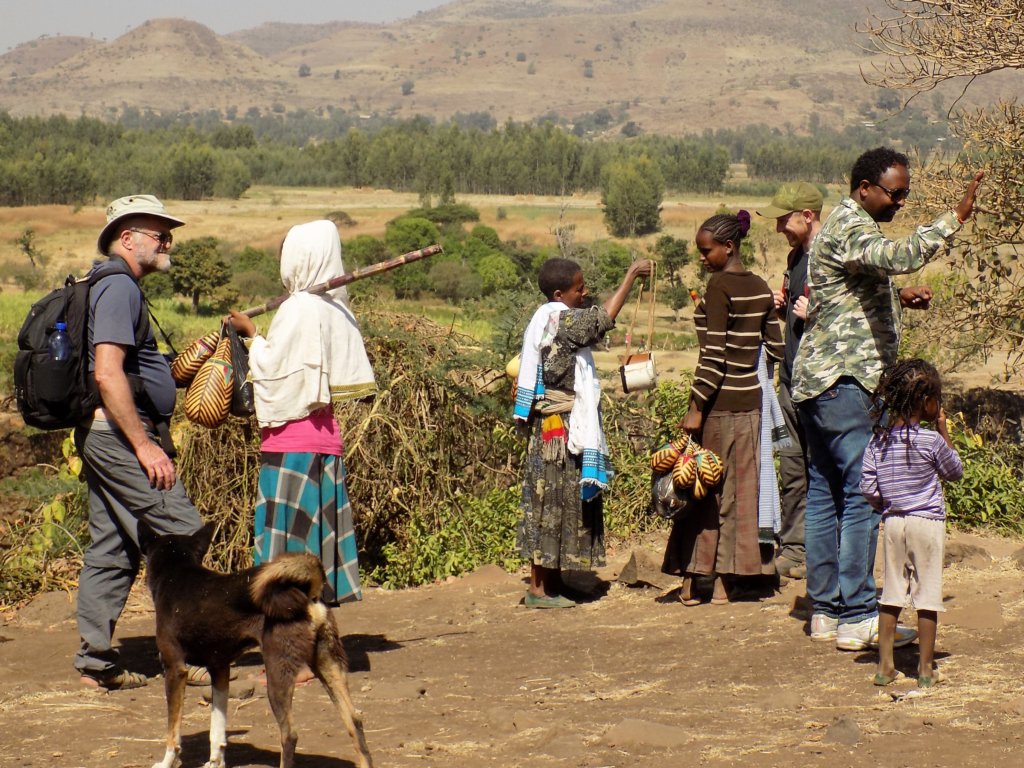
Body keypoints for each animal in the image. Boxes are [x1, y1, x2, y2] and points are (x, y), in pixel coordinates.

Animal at [139, 524, 372, 768]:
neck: (177, 573)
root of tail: (307, 592)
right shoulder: (220, 669)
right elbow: (217, 729)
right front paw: (215, 762)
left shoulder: (175, 669)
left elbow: (173, 732)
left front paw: (166, 762)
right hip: (329, 665)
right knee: (355, 722)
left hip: (277, 675)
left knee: (290, 735)